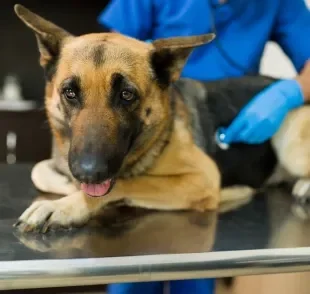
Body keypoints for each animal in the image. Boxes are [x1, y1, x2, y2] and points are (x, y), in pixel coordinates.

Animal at [13, 3, 310, 231]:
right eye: (70, 92)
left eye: (126, 95)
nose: (89, 172)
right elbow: (39, 171)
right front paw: (68, 187)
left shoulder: (202, 177)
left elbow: (126, 183)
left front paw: (64, 206)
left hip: (289, 142)